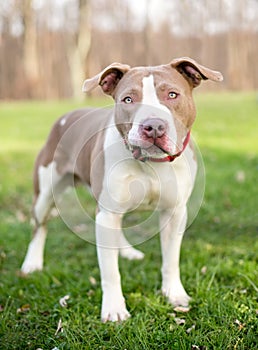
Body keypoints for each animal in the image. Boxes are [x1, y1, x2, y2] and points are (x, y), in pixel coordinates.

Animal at [21, 58, 223, 322]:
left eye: (172, 95)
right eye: (128, 99)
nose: (153, 126)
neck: (151, 163)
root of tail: (67, 115)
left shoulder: (175, 212)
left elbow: (171, 260)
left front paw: (174, 294)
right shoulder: (107, 214)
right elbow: (110, 270)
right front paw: (114, 308)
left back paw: (128, 252)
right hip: (45, 194)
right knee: (39, 226)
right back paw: (32, 263)